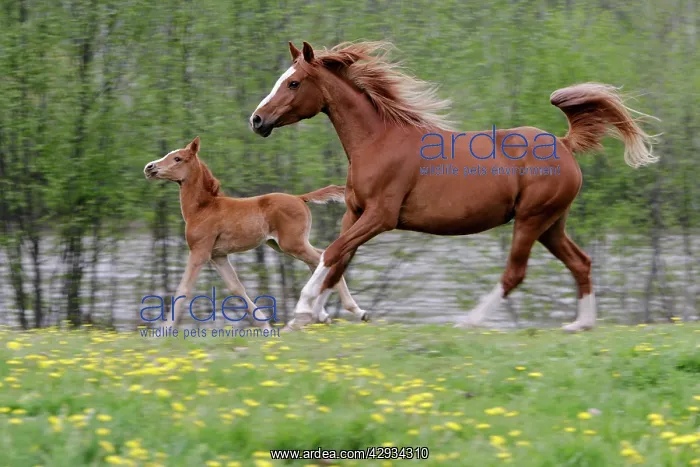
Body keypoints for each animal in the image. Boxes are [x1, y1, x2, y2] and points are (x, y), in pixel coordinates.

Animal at [143, 136, 368, 328]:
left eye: (177, 158)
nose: (149, 167)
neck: (203, 208)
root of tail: (299, 198)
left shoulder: (200, 252)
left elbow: (184, 289)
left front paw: (163, 330)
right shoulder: (218, 256)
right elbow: (236, 288)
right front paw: (265, 325)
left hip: (292, 244)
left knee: (323, 256)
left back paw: (348, 311)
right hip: (280, 245)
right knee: (319, 259)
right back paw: (330, 314)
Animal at [248, 40, 659, 332]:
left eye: (294, 82)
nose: (257, 120)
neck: (377, 142)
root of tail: (563, 143)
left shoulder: (382, 216)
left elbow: (332, 253)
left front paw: (304, 309)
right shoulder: (355, 212)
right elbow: (336, 260)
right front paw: (324, 314)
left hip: (531, 219)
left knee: (515, 273)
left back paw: (469, 321)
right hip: (551, 224)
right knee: (581, 262)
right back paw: (580, 324)